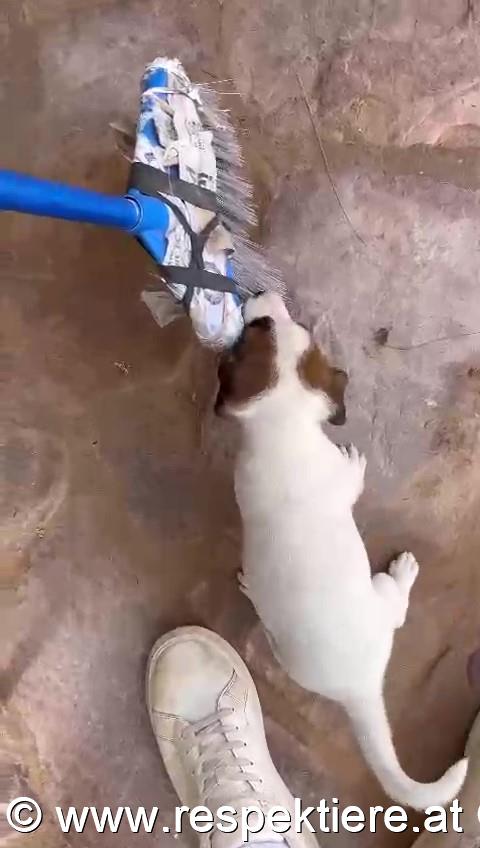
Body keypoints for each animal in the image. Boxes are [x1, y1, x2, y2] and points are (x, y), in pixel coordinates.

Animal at [215, 294, 468, 816]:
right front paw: (356, 461)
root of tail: (360, 687)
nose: (262, 300)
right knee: (396, 606)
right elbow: (352, 481)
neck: (283, 426)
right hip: (379, 595)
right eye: (266, 325)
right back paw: (405, 572)